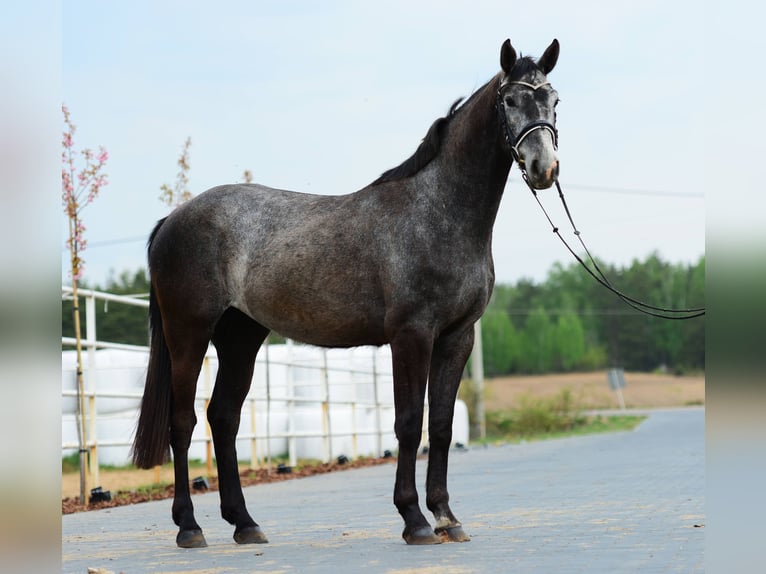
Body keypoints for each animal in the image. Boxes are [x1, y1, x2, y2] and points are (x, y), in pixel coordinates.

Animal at [131, 38, 561, 548]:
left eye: (554, 100)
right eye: (510, 100)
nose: (543, 168)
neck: (437, 213)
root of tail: (171, 220)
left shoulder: (458, 337)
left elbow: (440, 425)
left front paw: (446, 517)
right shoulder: (411, 335)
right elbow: (408, 423)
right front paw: (414, 519)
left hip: (240, 338)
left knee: (224, 418)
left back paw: (245, 523)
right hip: (188, 333)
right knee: (183, 422)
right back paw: (189, 527)